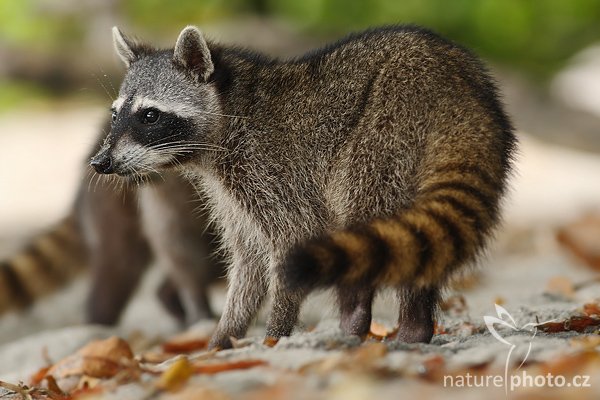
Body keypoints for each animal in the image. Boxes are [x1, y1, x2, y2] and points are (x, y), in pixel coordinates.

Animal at [94, 25, 516, 350]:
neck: (229, 109)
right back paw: (415, 324)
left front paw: (275, 334)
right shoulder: (232, 195)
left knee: (361, 206)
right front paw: (224, 336)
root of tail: (457, 97)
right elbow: (248, 265)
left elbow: (292, 238)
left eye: (149, 116)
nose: (100, 163)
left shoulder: (270, 170)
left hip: (384, 130)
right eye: (115, 115)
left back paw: (360, 315)